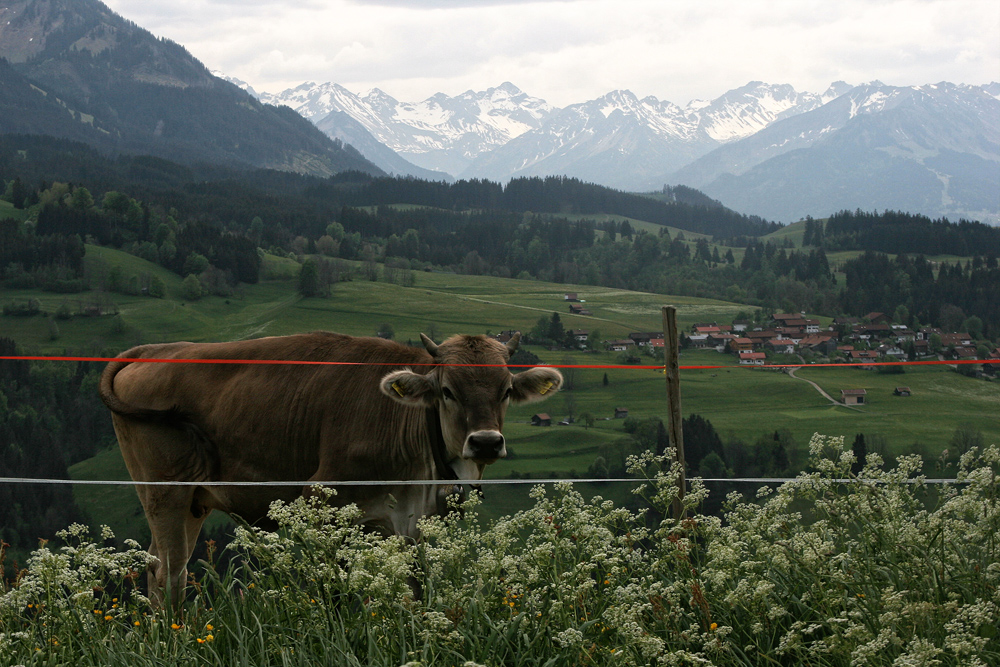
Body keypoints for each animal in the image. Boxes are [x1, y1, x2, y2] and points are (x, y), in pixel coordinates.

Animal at [101, 332, 564, 608]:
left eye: (506, 390)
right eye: (448, 391)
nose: (485, 442)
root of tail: (155, 351)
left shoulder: (410, 522)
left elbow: (414, 587)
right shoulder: (325, 504)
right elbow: (336, 588)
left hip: (193, 503)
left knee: (164, 568)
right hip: (165, 492)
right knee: (168, 573)